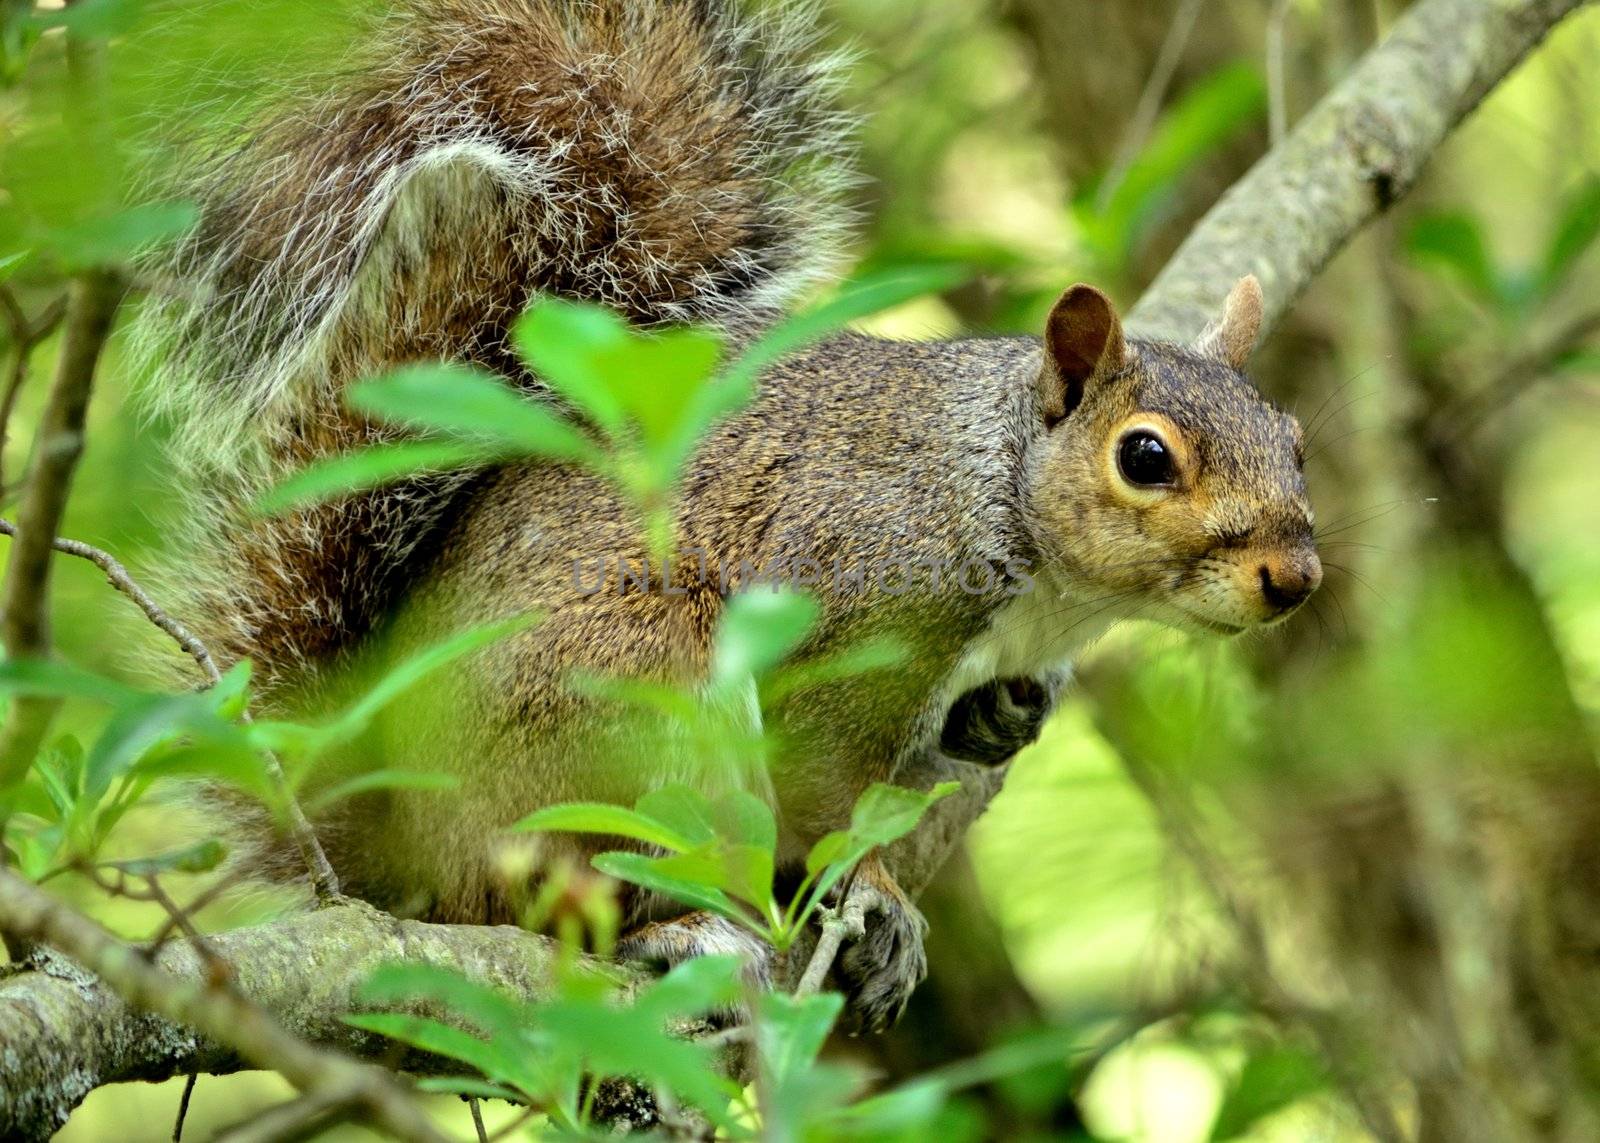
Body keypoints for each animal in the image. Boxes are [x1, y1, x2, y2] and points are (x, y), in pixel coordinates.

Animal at [137, 0, 1318, 1030]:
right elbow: (829, 795)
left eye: (1295, 439)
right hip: (641, 701)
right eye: (1145, 457)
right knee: (562, 890)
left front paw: (1002, 719)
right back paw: (676, 934)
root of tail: (402, 852)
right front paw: (877, 894)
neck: (998, 498)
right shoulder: (858, 611)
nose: (1294, 577)